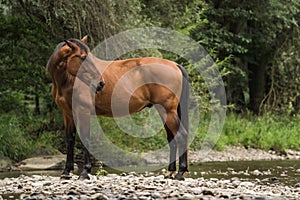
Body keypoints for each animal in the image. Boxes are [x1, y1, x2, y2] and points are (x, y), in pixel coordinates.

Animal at [46, 36, 189, 181]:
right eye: (82, 57)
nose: (100, 83)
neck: (67, 80)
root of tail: (175, 65)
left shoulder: (83, 111)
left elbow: (85, 139)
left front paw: (85, 172)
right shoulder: (68, 114)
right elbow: (70, 139)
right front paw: (66, 172)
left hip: (168, 111)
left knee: (181, 135)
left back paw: (180, 173)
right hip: (165, 112)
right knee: (172, 138)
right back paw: (170, 172)